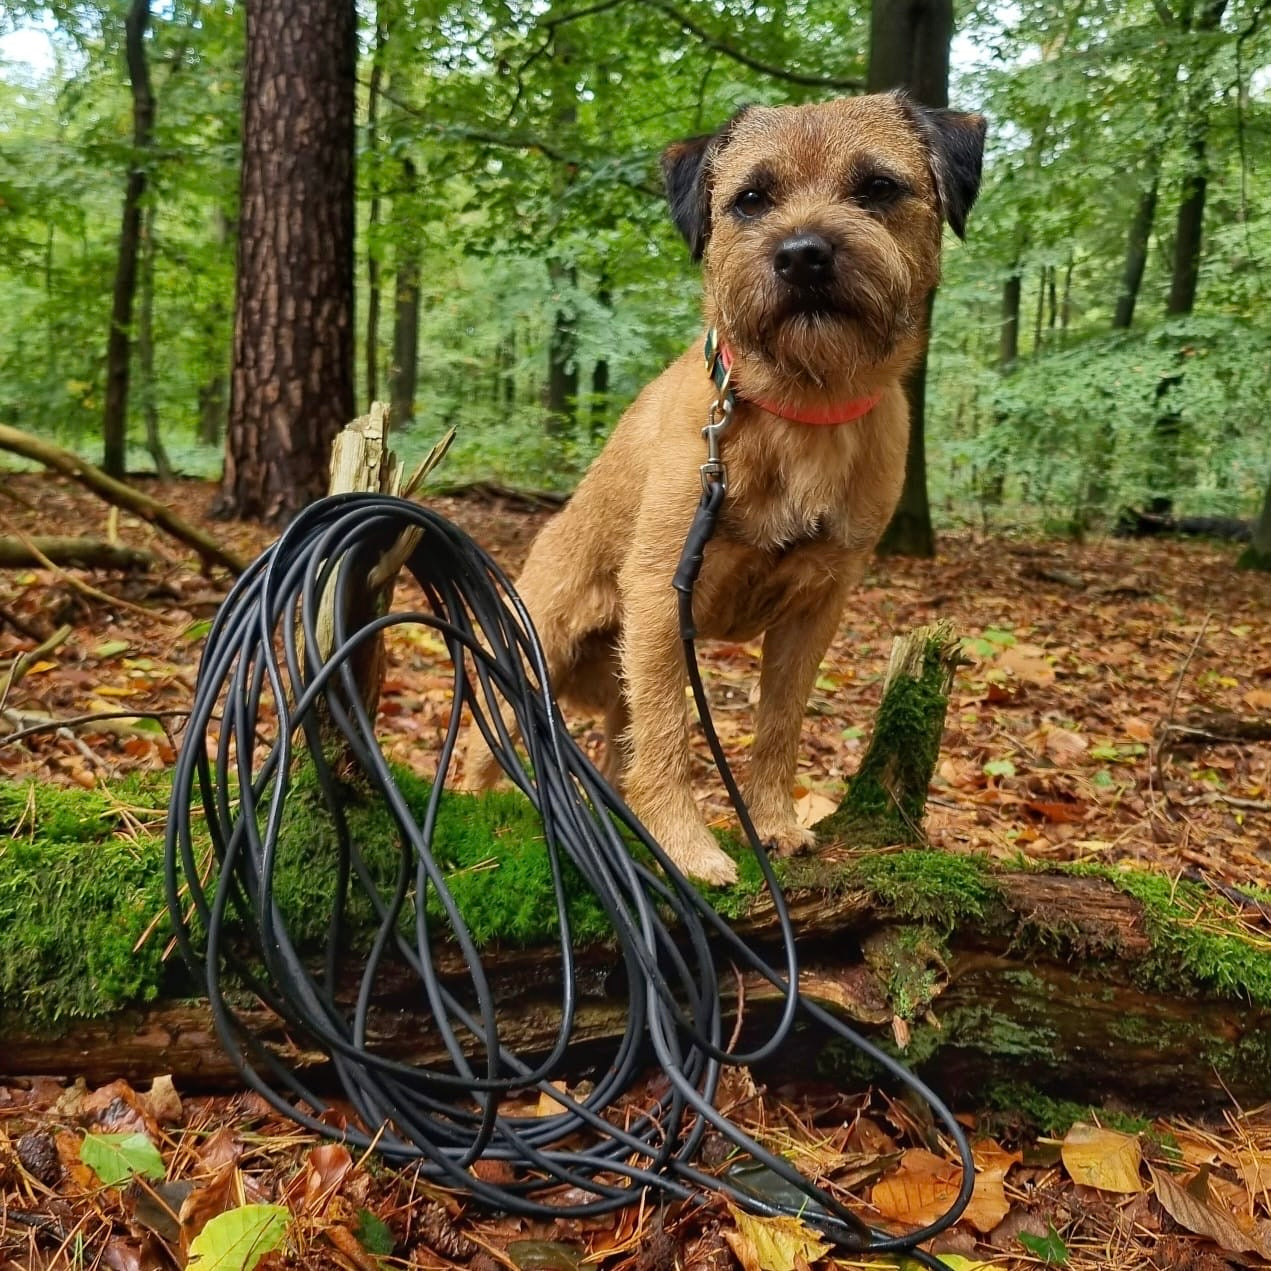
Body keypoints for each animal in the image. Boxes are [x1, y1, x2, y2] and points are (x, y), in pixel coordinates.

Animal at [462, 92, 986, 884]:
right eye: (750, 199)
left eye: (876, 188)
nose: (802, 253)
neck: (801, 408)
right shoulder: (659, 597)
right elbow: (670, 731)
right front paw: (684, 846)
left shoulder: (814, 610)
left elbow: (777, 725)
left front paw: (771, 823)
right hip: (538, 646)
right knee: (491, 741)